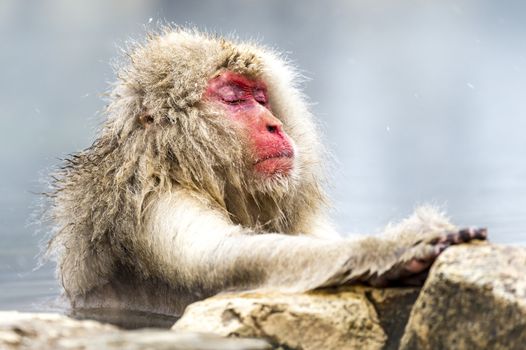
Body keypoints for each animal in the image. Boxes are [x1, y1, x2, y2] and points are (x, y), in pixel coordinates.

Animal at [47, 28, 488, 316]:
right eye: (234, 99)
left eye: (261, 98)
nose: (274, 125)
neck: (180, 167)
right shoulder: (156, 205)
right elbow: (226, 263)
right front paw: (391, 250)